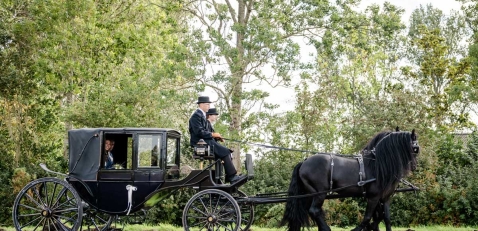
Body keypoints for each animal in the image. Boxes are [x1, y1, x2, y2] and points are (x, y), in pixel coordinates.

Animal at [280, 130, 418, 231]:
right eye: (416, 148)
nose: (415, 166)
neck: (378, 166)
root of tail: (304, 162)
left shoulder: (385, 197)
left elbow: (386, 217)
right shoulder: (373, 197)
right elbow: (369, 216)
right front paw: (359, 229)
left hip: (309, 194)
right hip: (319, 193)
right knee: (314, 211)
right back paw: (326, 229)